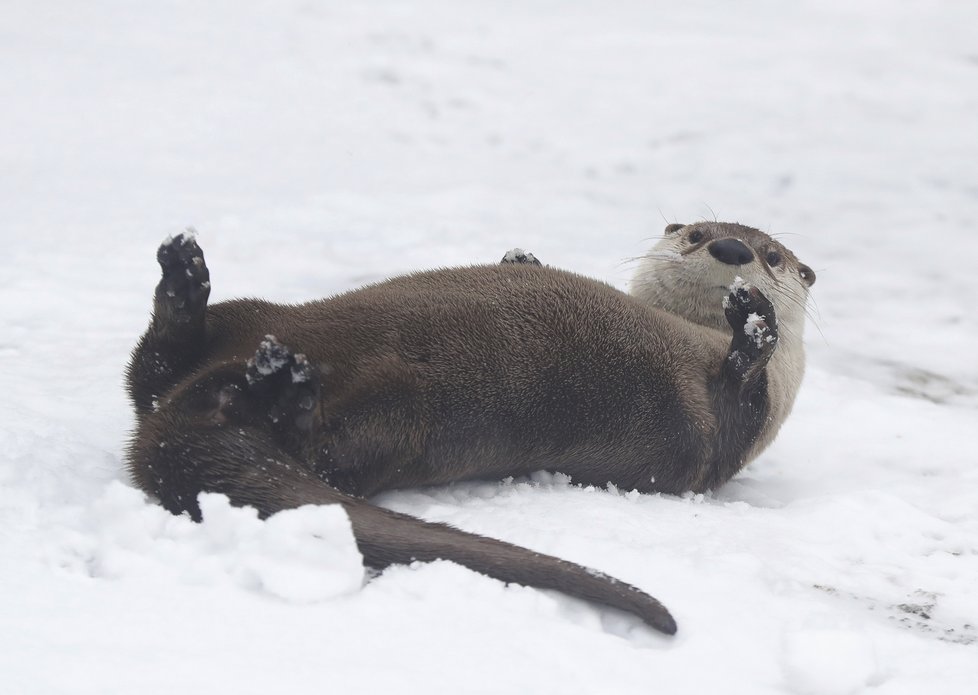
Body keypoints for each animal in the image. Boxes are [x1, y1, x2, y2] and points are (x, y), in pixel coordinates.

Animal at [127, 223, 816, 636]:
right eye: (699, 233)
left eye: (772, 256)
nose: (733, 252)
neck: (695, 334)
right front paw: (522, 256)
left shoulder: (721, 437)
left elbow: (735, 400)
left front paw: (754, 324)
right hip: (257, 317)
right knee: (151, 371)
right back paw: (190, 284)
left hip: (393, 418)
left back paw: (282, 388)